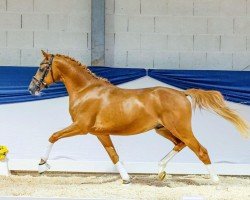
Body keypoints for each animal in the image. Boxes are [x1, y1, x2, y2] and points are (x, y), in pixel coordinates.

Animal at [28, 50, 248, 184]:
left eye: (42, 67)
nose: (31, 88)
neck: (86, 91)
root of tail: (182, 93)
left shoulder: (81, 127)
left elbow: (53, 136)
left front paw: (41, 166)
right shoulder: (99, 133)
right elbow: (113, 155)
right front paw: (126, 178)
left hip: (180, 128)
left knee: (201, 150)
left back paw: (215, 180)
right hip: (163, 129)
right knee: (181, 144)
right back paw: (160, 170)